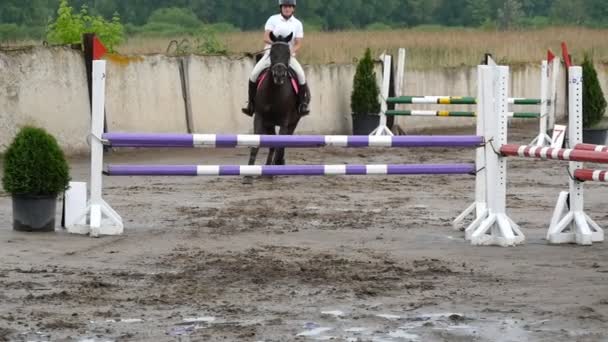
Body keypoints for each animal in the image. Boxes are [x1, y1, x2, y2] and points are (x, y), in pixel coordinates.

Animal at [245, 32, 304, 184]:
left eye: (288, 53)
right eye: (272, 53)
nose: (279, 75)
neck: (274, 92)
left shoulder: (284, 122)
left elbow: (279, 145)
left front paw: (275, 169)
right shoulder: (259, 118)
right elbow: (256, 145)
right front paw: (248, 175)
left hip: (293, 123)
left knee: (281, 145)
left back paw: (276, 166)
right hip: (269, 124)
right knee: (272, 145)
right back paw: (268, 169)